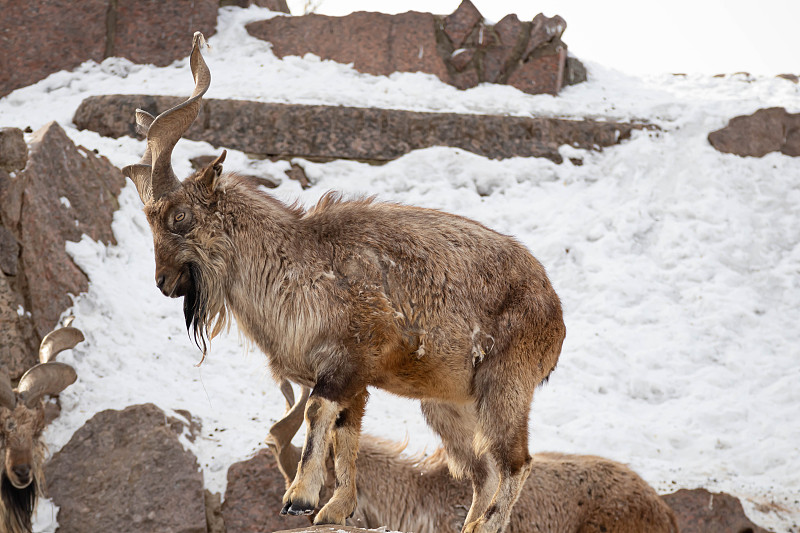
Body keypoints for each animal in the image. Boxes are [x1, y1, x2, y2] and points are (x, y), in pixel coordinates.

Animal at [122, 33, 564, 532]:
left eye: (179, 216)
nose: (164, 282)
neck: (295, 263)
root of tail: (554, 310)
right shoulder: (356, 381)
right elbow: (344, 434)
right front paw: (334, 507)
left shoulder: (347, 361)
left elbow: (318, 413)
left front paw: (298, 497)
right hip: (450, 402)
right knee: (482, 469)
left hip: (504, 384)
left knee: (515, 462)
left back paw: (486, 523)